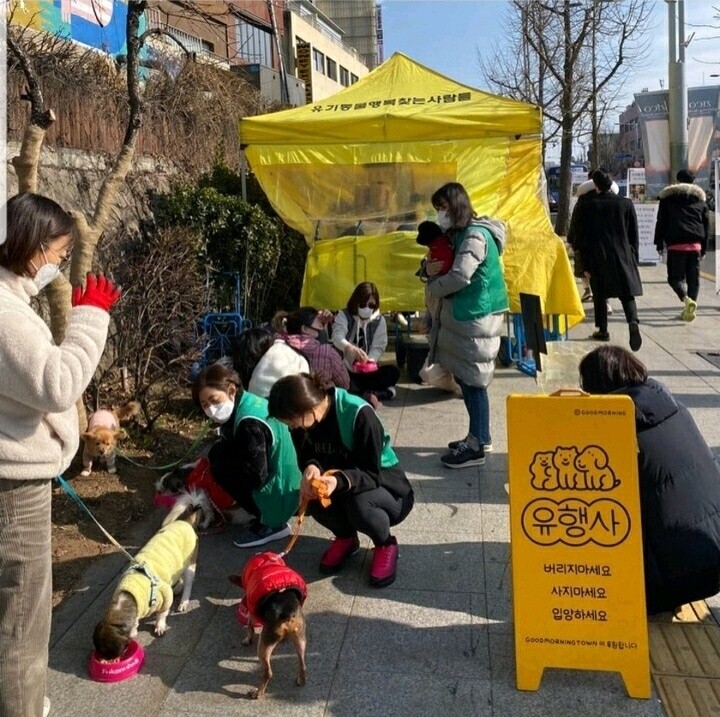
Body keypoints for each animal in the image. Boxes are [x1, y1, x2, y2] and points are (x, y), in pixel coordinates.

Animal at [229, 548, 308, 700]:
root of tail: (287, 613)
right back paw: (301, 680)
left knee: (268, 672)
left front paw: (247, 639)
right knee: (302, 663)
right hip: (300, 638)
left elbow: (250, 627)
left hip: (264, 645)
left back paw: (257, 693)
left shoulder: (251, 611)